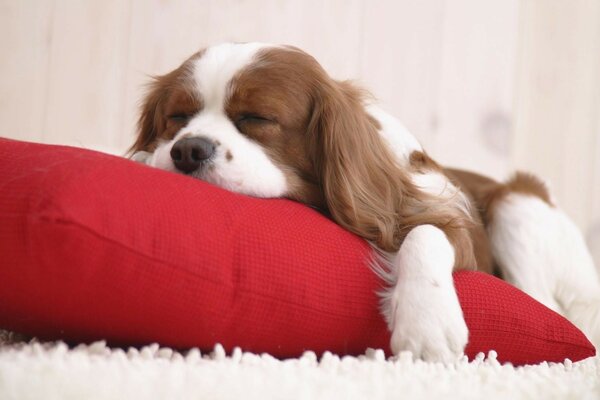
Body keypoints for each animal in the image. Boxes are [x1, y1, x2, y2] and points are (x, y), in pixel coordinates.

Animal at [130, 42, 600, 360]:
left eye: (256, 119)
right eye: (177, 117)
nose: (187, 150)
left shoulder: (453, 226)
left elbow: (425, 234)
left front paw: (427, 322)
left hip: (519, 204)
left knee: (545, 302)